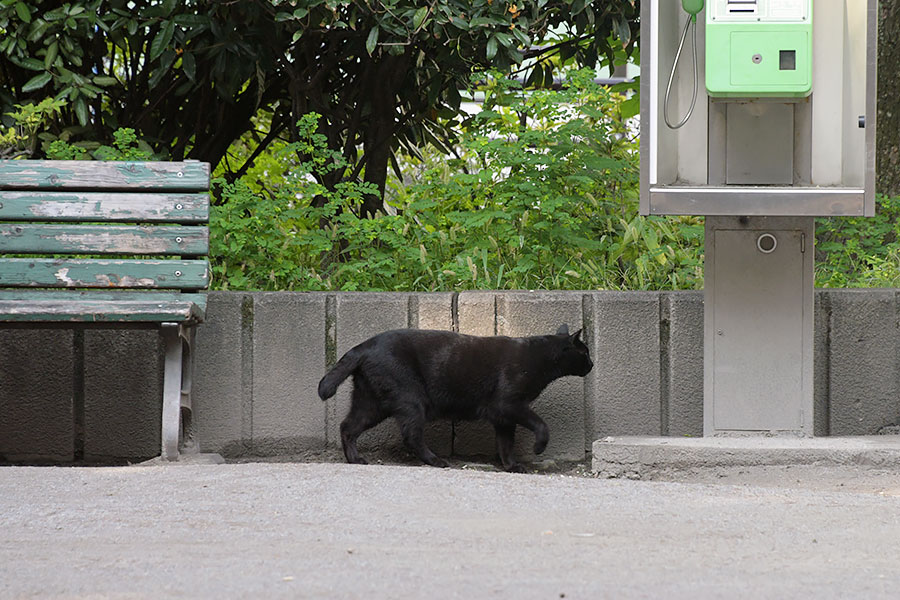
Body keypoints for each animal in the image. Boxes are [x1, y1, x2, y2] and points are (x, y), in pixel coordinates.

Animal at [320, 324, 596, 474]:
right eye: (585, 352)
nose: (593, 363)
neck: (539, 358)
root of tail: (364, 346)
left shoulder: (503, 417)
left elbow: (505, 443)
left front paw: (511, 466)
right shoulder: (509, 405)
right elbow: (541, 424)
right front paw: (539, 448)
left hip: (371, 403)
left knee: (348, 426)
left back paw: (355, 460)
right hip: (411, 400)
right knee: (411, 435)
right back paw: (436, 461)